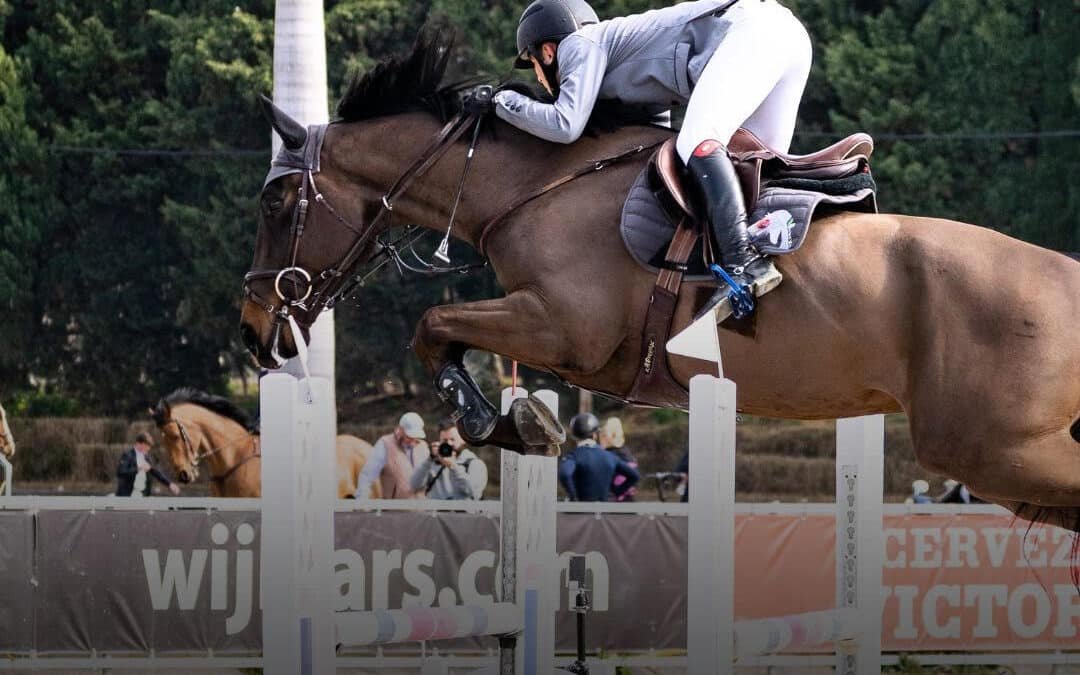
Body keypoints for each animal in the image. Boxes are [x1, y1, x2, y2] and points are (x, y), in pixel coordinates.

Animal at [239, 33, 1080, 534]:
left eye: (275, 202)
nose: (252, 331)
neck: (533, 185)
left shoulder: (561, 327)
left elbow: (431, 327)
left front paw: (495, 421)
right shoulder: (560, 337)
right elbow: (441, 332)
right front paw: (513, 420)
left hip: (987, 448)